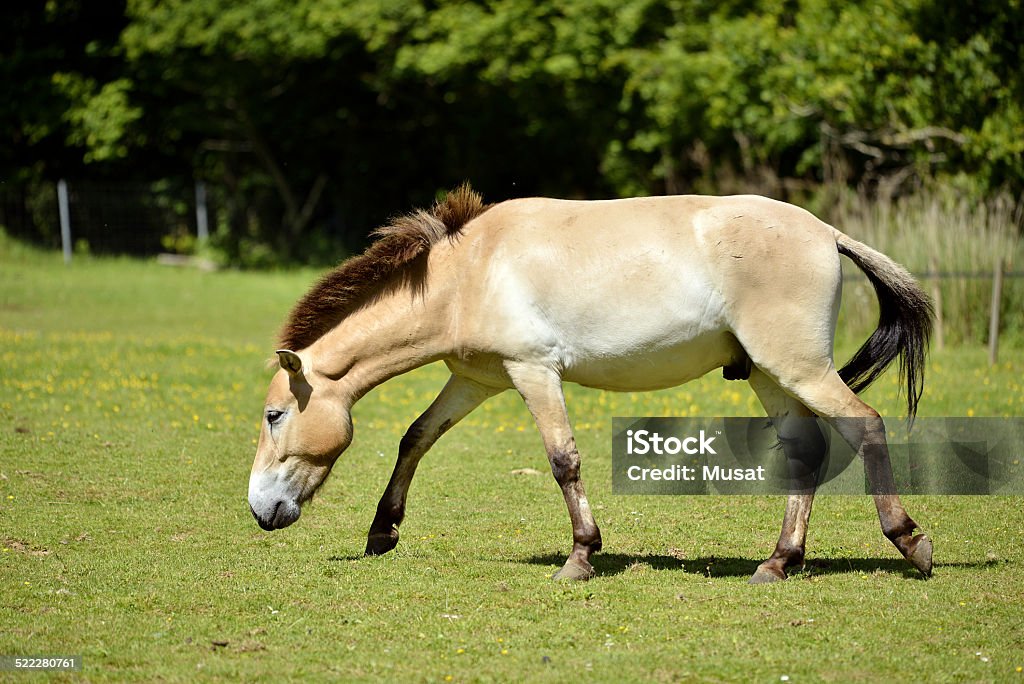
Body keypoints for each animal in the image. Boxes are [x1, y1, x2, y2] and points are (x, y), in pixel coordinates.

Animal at [249, 185, 937, 581]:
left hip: (799, 368)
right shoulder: (477, 382)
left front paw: (580, 557)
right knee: (805, 450)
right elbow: (415, 438)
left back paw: (910, 543)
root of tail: (827, 233)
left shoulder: (534, 373)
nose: (260, 511)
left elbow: (563, 461)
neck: (469, 272)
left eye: (274, 416)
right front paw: (381, 533)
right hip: (769, 374)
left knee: (865, 425)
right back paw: (778, 562)